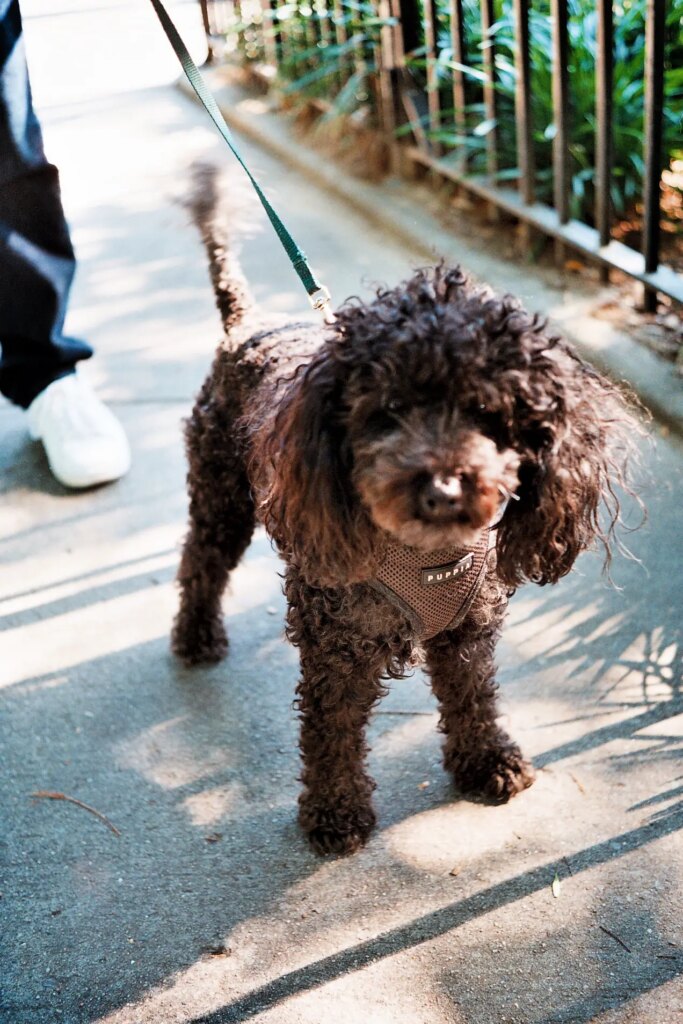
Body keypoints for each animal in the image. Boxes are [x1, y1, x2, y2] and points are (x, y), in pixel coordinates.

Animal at [172, 167, 643, 856]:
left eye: (488, 413)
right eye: (388, 409)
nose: (443, 488)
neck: (428, 556)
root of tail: (245, 325)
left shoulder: (468, 629)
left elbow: (473, 698)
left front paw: (487, 761)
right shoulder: (337, 644)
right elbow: (332, 732)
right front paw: (336, 812)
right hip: (222, 495)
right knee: (201, 562)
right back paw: (196, 636)